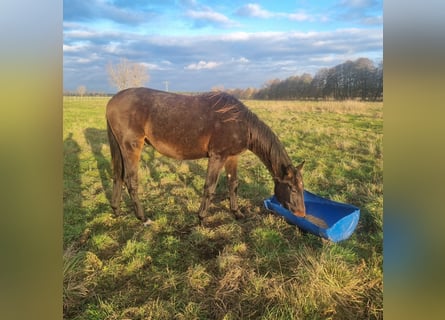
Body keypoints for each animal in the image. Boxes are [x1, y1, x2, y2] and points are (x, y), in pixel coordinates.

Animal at [106, 86, 304, 224]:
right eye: (292, 188)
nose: (301, 213)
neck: (239, 122)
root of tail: (112, 101)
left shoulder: (232, 157)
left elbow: (233, 184)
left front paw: (237, 213)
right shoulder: (218, 156)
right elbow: (210, 187)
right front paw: (202, 218)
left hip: (121, 148)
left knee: (118, 176)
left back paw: (116, 210)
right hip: (132, 147)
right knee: (131, 181)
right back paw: (143, 217)